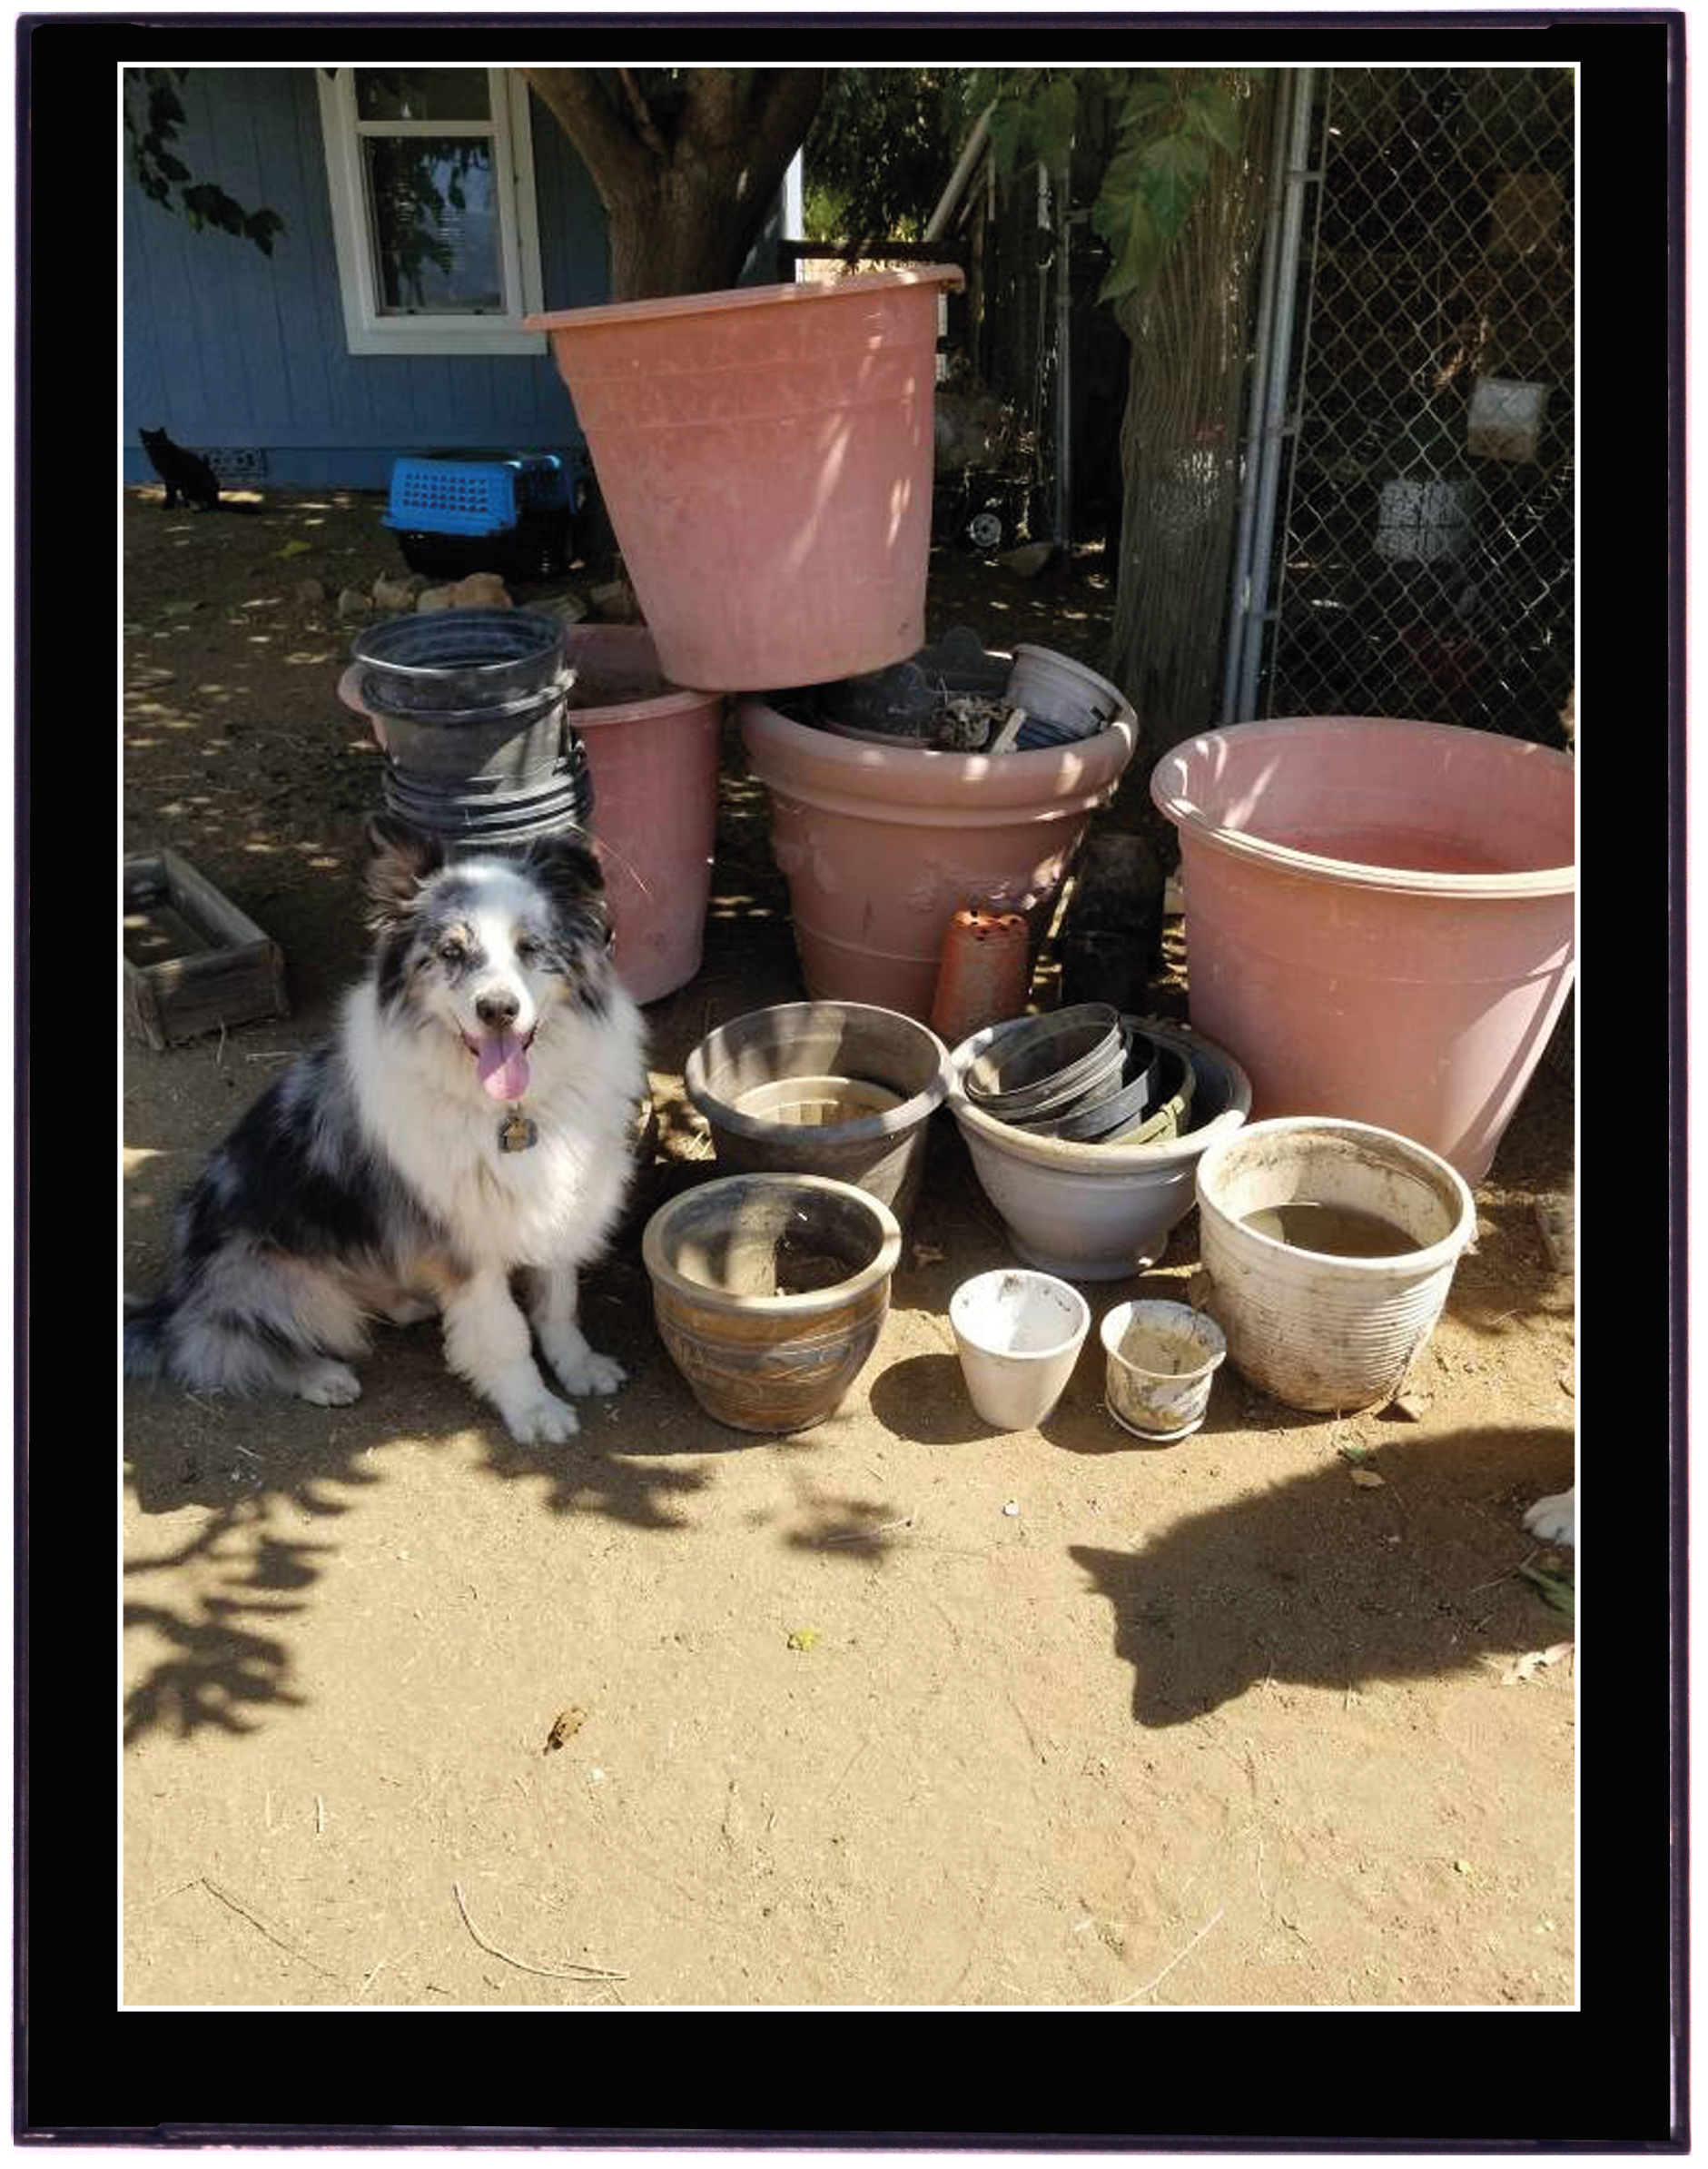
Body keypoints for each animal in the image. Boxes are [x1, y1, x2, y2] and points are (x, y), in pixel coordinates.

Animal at [123, 815, 646, 1440]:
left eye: (531, 948)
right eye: (451, 951)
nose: (498, 1010)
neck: (511, 1114)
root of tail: (177, 1298)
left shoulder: (559, 1199)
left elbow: (557, 1298)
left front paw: (580, 1366)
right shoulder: (463, 1241)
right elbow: (503, 1333)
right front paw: (534, 1408)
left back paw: (409, 1302)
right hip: (272, 1276)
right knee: (225, 1343)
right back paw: (321, 1376)